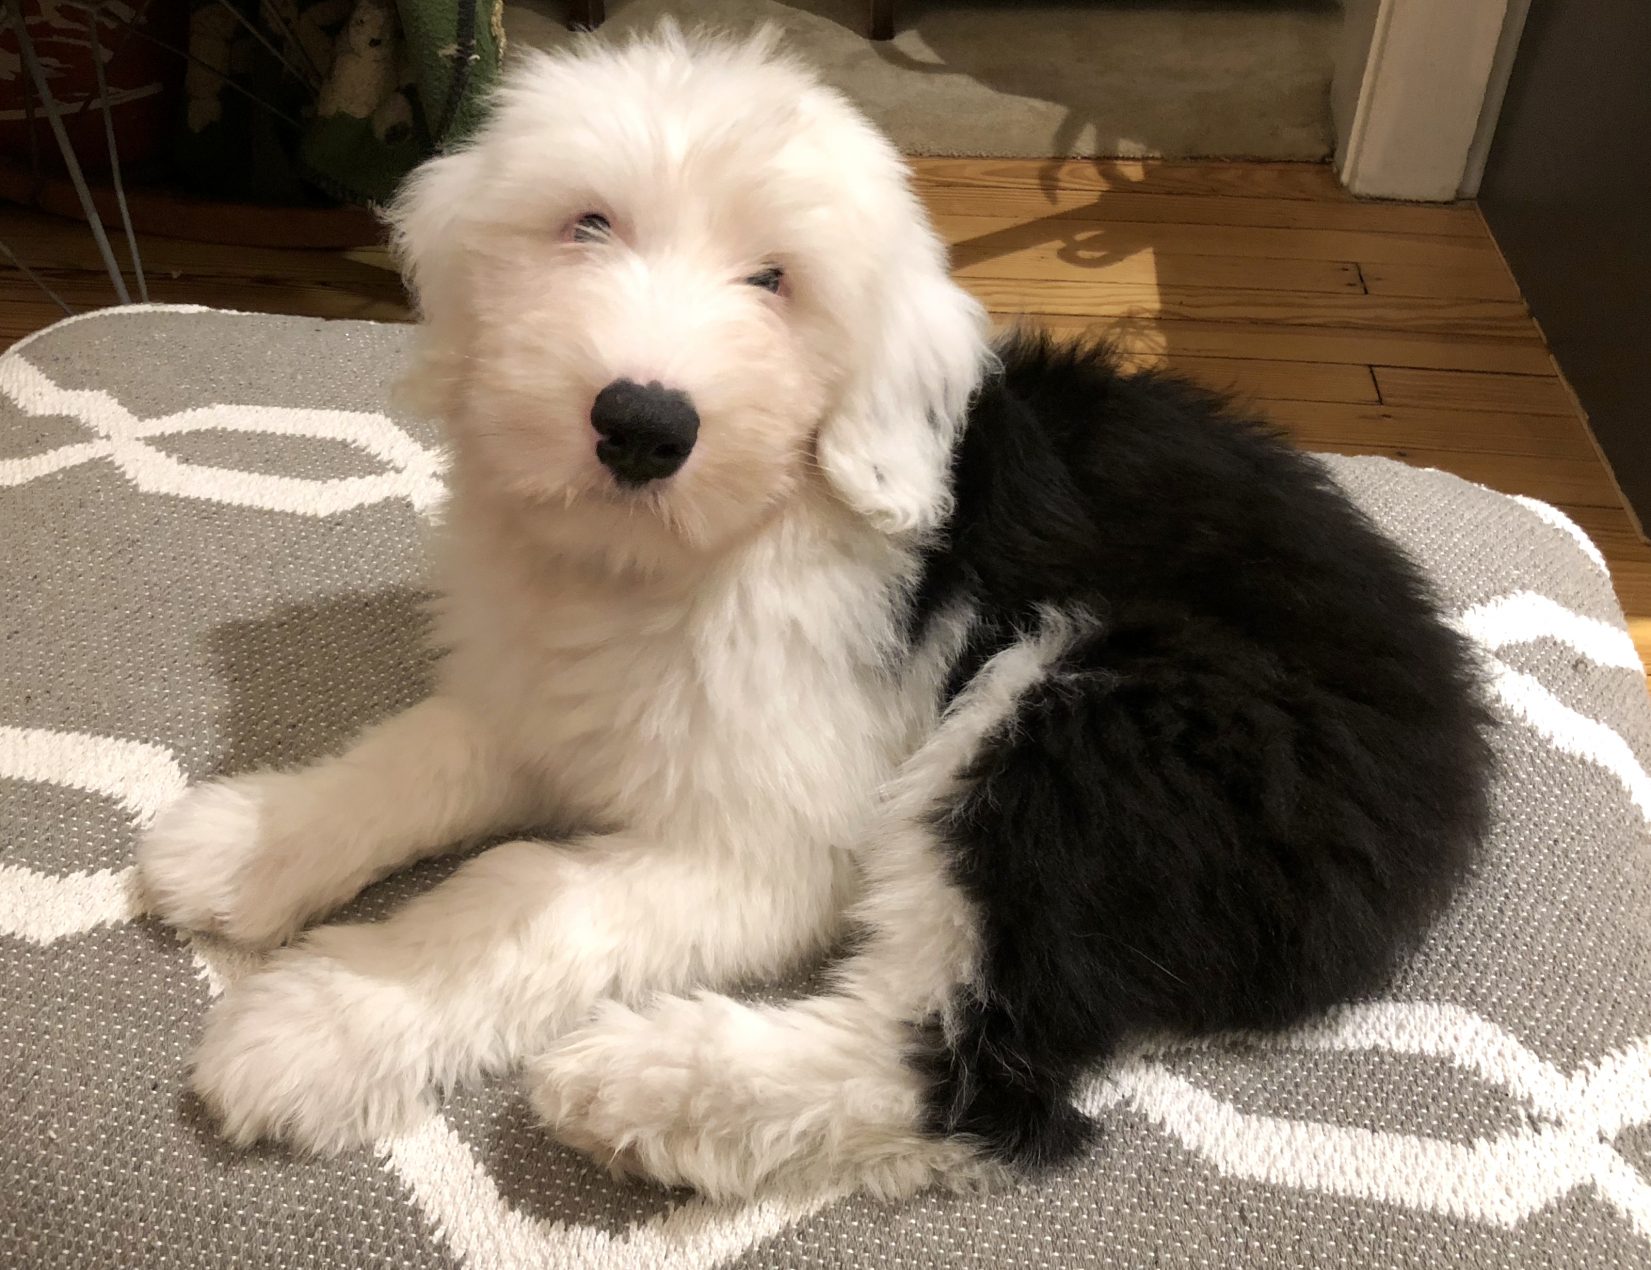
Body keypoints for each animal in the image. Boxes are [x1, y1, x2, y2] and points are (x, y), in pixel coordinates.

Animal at [135, 29, 1492, 1202]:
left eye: (775, 282)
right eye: (588, 222)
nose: (641, 421)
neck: (690, 555)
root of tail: (1452, 762)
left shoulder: (770, 841)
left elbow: (523, 888)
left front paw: (314, 1028)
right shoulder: (537, 699)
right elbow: (426, 752)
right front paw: (245, 839)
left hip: (1079, 718)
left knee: (969, 1070)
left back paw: (647, 1085)